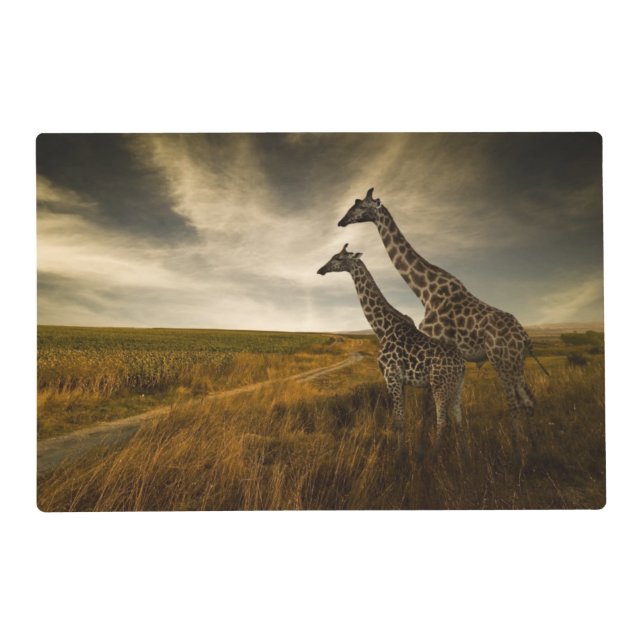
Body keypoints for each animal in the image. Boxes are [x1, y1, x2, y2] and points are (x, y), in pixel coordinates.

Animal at [317, 243, 465, 460]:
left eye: (338, 258)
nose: (321, 270)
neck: (382, 328)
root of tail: (462, 366)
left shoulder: (392, 376)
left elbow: (398, 422)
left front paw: (399, 456)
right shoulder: (401, 381)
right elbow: (401, 419)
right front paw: (401, 452)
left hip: (440, 386)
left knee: (443, 422)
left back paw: (434, 455)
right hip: (456, 387)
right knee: (460, 421)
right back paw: (465, 453)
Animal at [338, 188, 549, 461]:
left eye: (360, 206)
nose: (341, 221)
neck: (424, 290)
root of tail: (525, 338)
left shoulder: (435, 345)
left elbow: (430, 408)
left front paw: (424, 452)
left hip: (501, 360)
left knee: (513, 403)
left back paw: (516, 453)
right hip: (516, 363)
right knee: (528, 400)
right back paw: (535, 450)